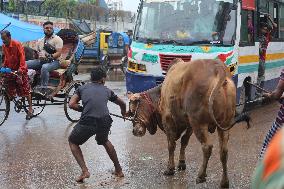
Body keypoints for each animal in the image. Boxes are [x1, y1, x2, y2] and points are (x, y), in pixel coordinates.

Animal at [127, 58, 250, 188]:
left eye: (132, 111)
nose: (134, 131)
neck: (160, 94)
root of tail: (218, 68)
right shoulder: (189, 125)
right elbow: (184, 142)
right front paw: (181, 163)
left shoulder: (168, 120)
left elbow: (171, 145)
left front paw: (170, 168)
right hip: (224, 124)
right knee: (224, 151)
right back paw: (224, 182)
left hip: (199, 123)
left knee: (207, 147)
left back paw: (201, 176)